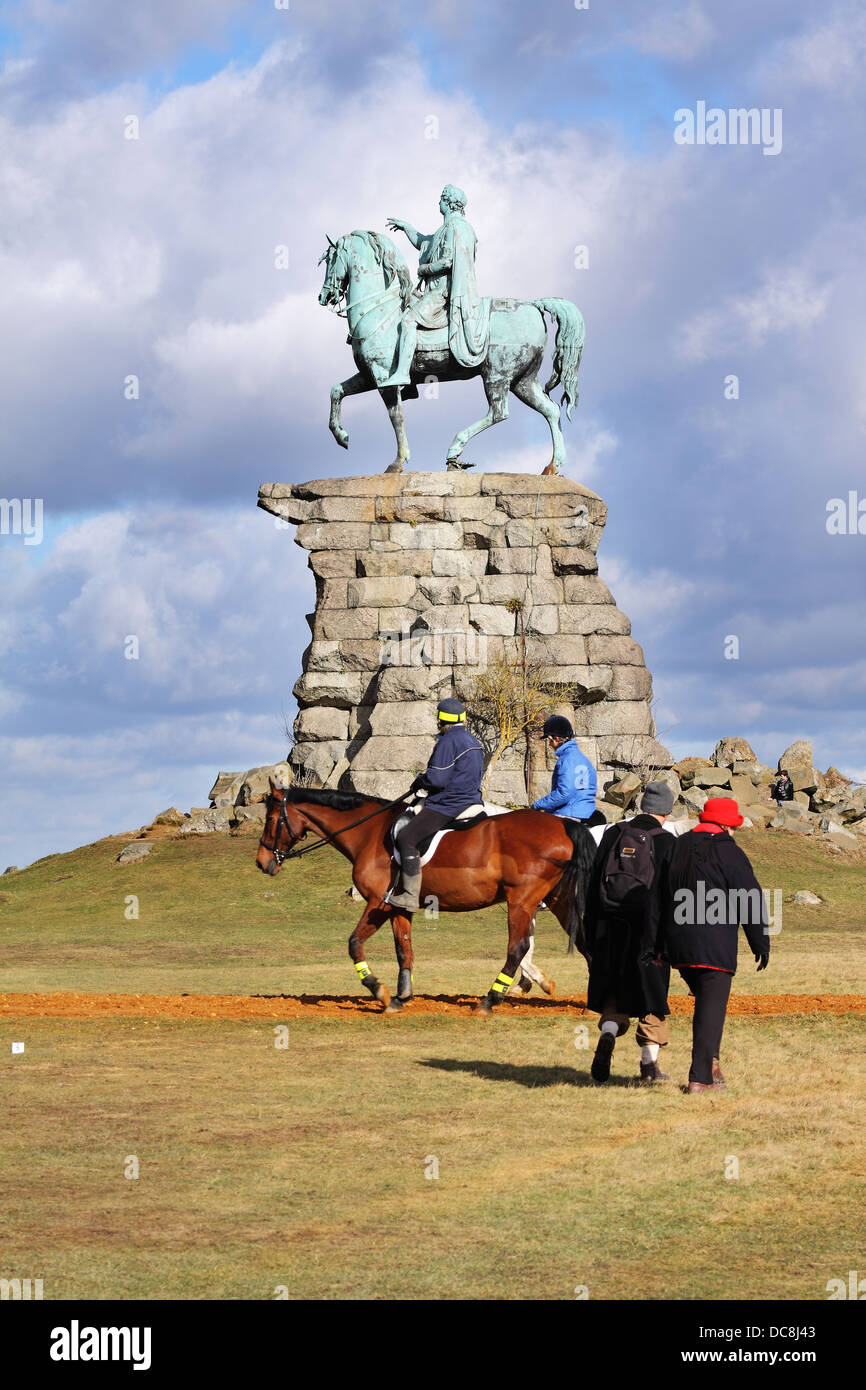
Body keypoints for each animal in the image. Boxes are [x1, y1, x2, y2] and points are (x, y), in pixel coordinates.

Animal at [254, 789, 600, 1017]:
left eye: (271, 819)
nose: (261, 862)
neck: (369, 833)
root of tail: (563, 824)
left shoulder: (378, 903)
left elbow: (354, 944)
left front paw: (379, 990)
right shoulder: (398, 907)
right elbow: (403, 949)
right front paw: (402, 996)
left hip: (521, 901)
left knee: (518, 949)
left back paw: (490, 1000)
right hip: (558, 900)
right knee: (586, 943)